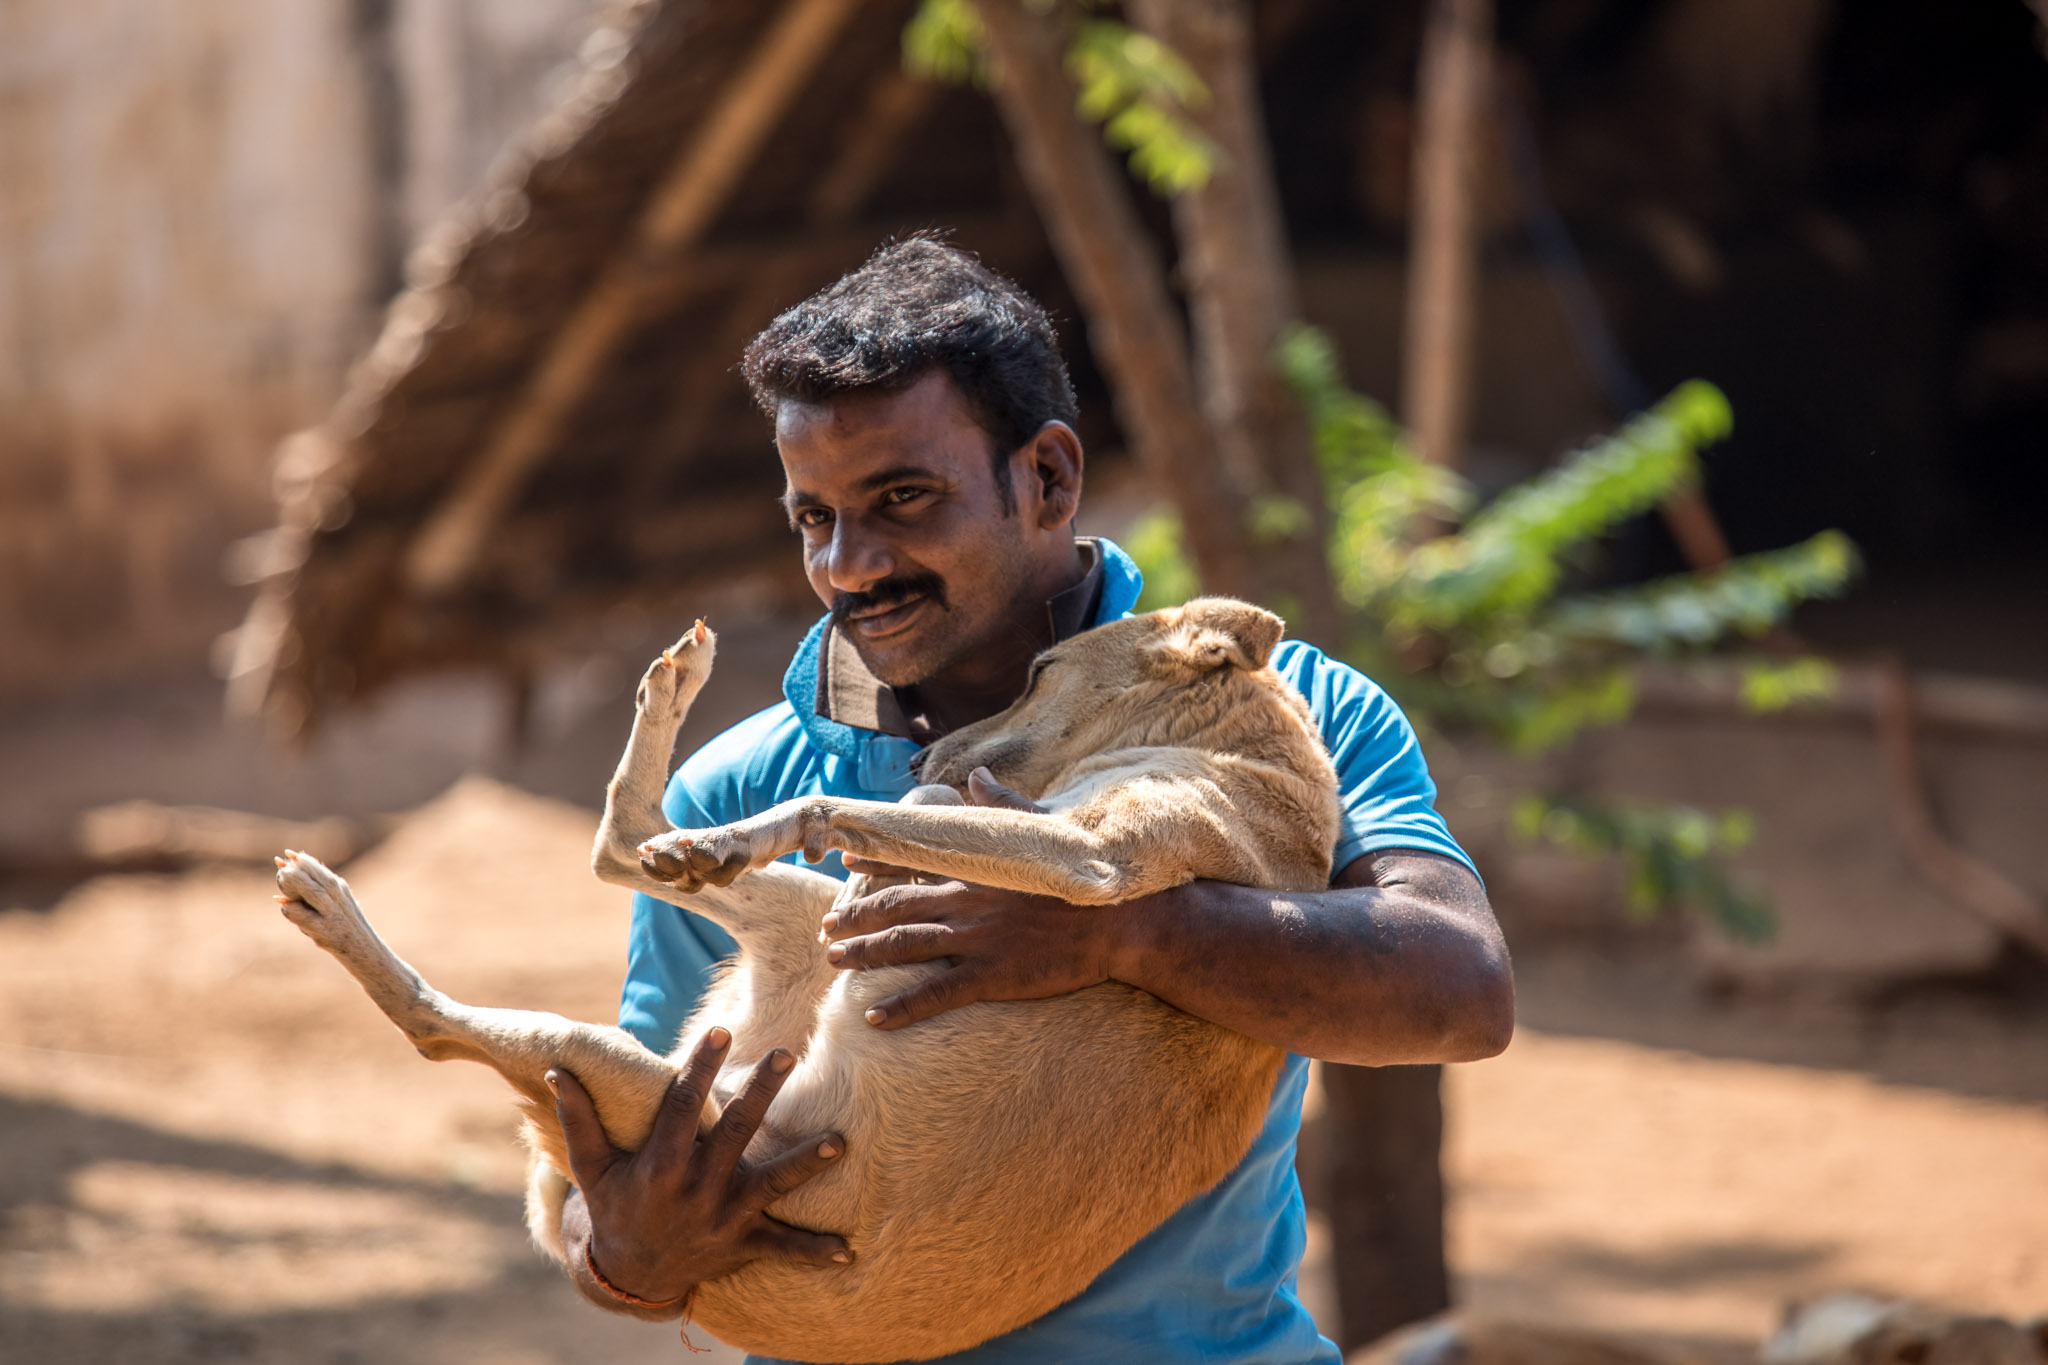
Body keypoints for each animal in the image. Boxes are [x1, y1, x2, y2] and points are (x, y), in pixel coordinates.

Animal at [272, 596, 1341, 1362]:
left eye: (1038, 670)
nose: (922, 745)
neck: (1251, 764)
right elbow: (898, 810)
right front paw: (819, 826)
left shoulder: (1093, 863)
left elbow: (846, 803)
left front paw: (795, 828)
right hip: (786, 928)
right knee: (621, 842)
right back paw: (679, 712)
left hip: (609, 1061)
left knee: (439, 1020)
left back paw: (336, 909)